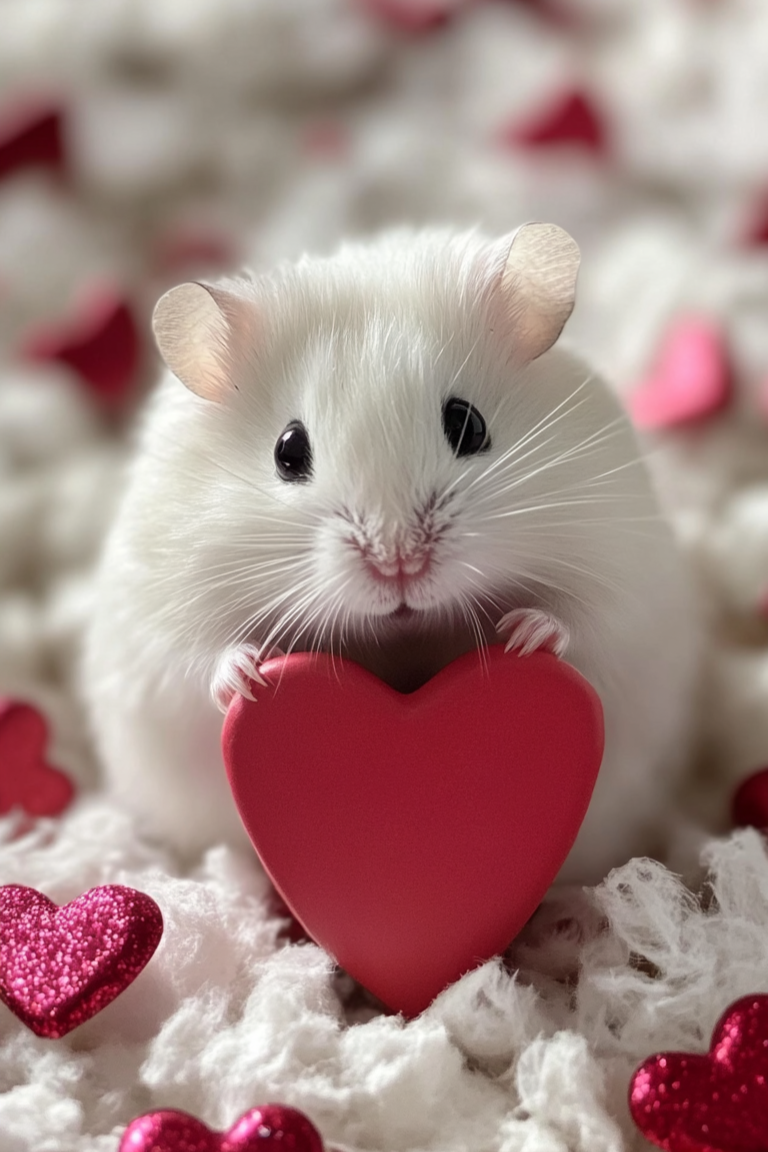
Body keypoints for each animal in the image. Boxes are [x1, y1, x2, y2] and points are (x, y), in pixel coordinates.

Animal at [81, 229, 700, 884]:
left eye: (468, 424)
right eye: (287, 451)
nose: (399, 562)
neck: (403, 635)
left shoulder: (624, 577)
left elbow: (585, 624)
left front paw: (525, 635)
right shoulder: (159, 624)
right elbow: (198, 664)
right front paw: (250, 677)